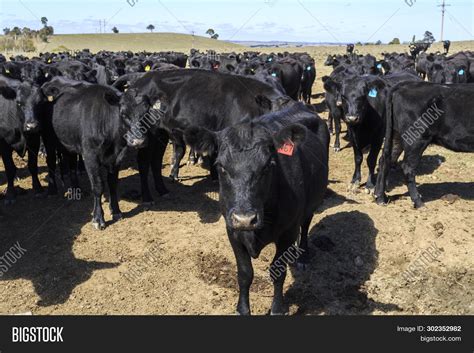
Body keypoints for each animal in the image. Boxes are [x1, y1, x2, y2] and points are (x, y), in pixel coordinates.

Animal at [40, 77, 129, 228]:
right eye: (123, 113)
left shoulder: (117, 157)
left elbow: (112, 183)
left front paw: (116, 211)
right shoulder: (90, 156)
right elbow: (98, 186)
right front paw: (98, 218)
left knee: (71, 164)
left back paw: (76, 189)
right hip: (48, 140)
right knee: (51, 161)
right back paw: (52, 190)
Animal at [119, 69, 288, 201]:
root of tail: (141, 78)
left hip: (161, 133)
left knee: (155, 160)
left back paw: (164, 189)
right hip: (148, 135)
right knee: (144, 161)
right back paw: (148, 197)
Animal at [185, 102, 330, 314]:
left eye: (268, 165)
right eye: (221, 166)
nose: (245, 219)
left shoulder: (287, 232)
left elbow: (278, 271)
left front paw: (277, 308)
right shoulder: (232, 230)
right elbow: (245, 273)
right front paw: (242, 308)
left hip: (313, 201)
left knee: (305, 225)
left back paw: (303, 256)